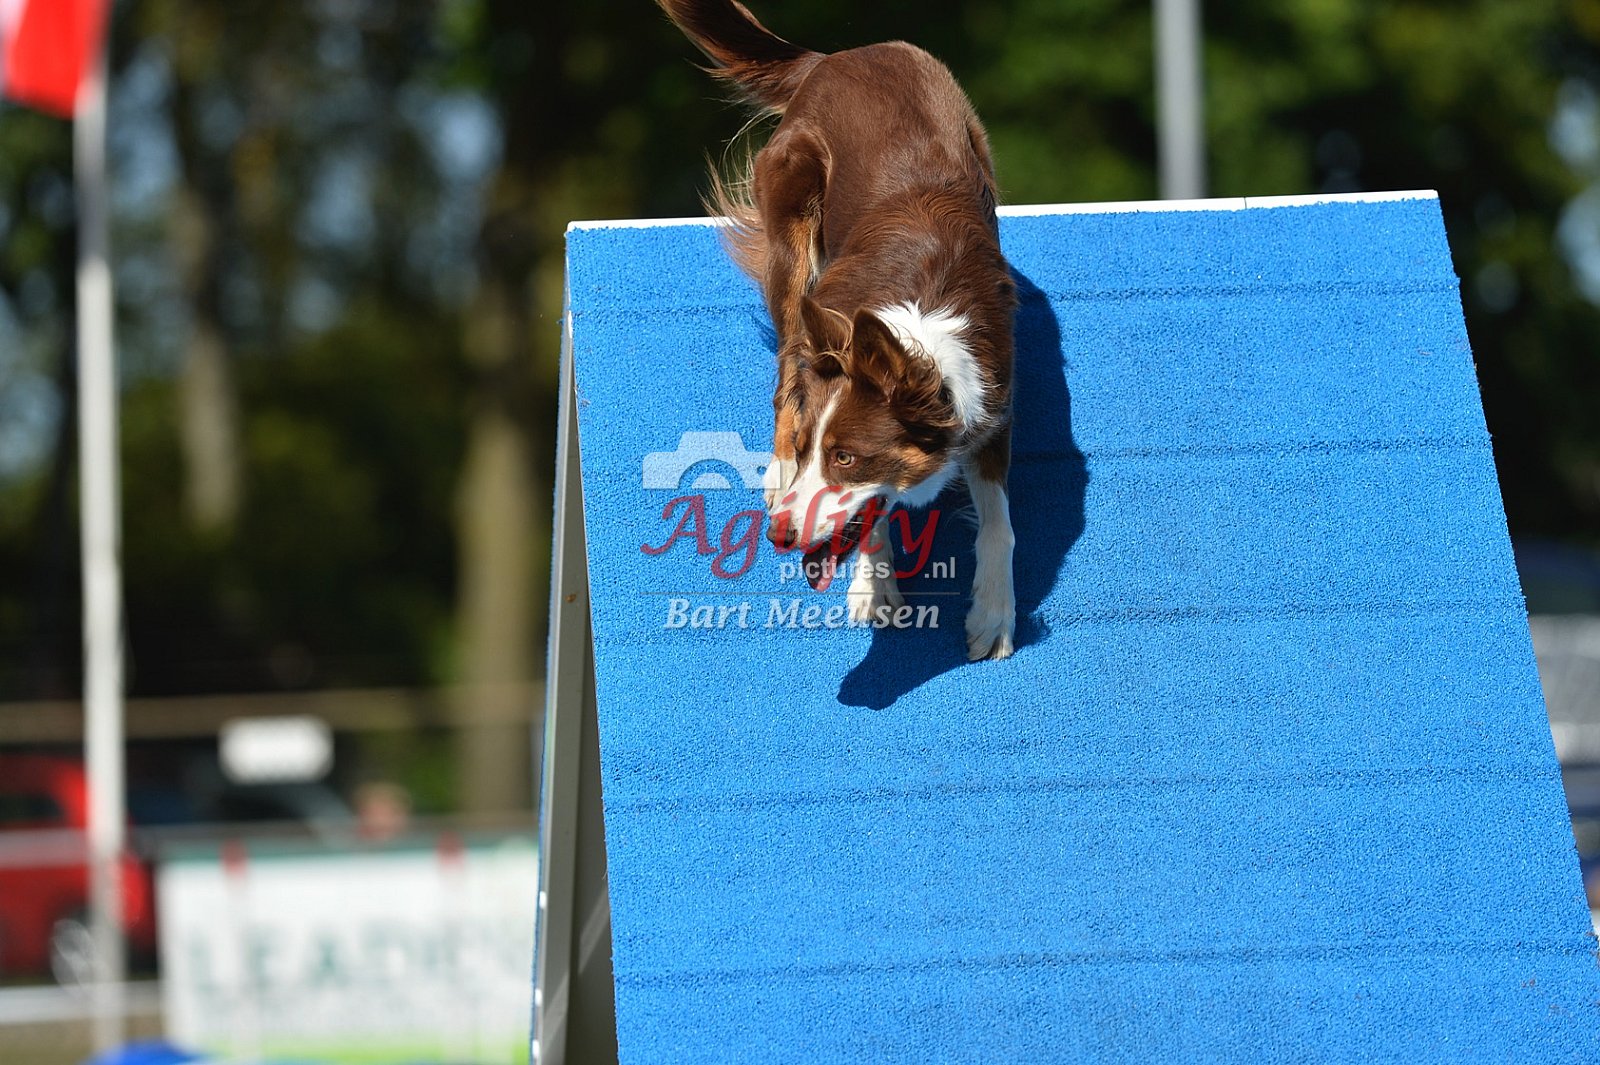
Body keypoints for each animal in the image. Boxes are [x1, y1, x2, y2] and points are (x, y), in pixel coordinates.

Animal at [659, 0, 1017, 660]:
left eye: (845, 457)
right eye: (810, 451)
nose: (778, 536)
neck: (915, 326)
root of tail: (833, 58)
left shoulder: (995, 394)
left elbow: (999, 519)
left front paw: (993, 613)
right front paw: (874, 586)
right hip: (792, 224)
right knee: (785, 371)